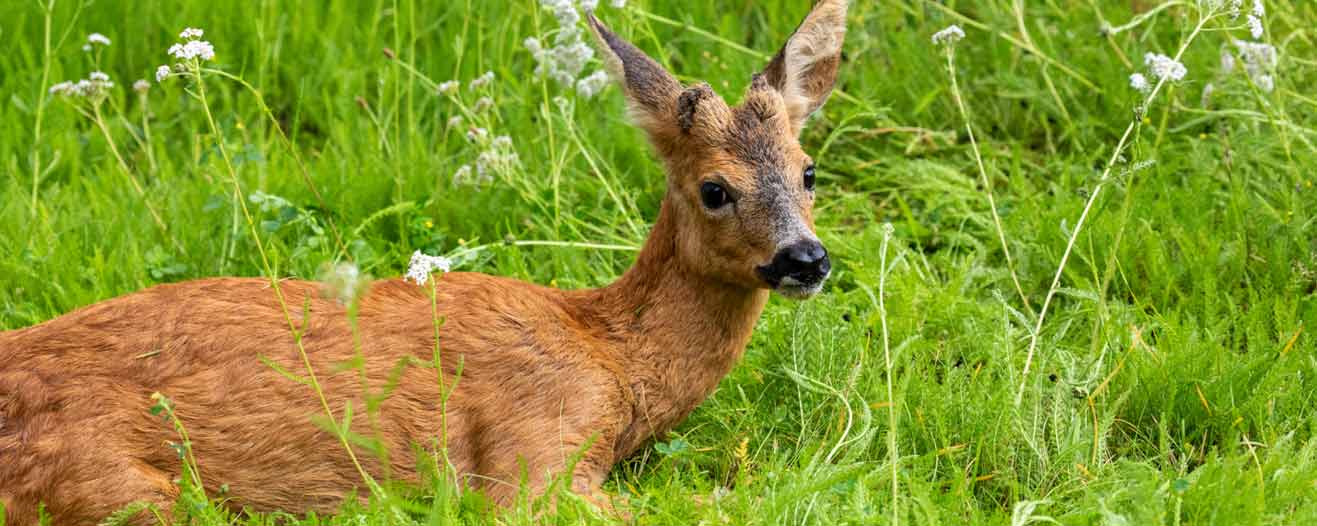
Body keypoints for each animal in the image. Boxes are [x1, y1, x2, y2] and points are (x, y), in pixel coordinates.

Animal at [0, 1, 848, 523]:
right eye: (714, 188)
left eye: (808, 170)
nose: (805, 259)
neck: (607, 353)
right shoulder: (533, 454)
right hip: (115, 482)